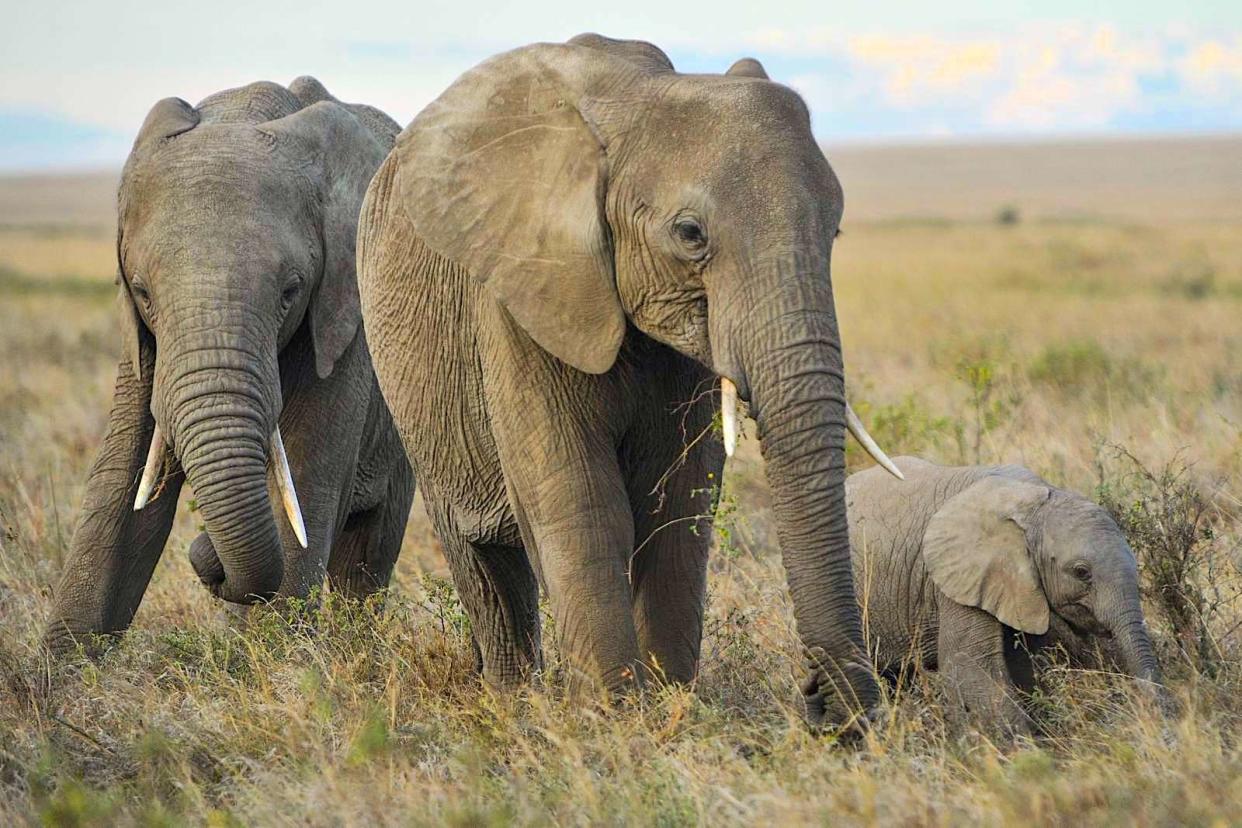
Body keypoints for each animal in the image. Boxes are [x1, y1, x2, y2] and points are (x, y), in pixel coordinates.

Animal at [43, 76, 414, 655]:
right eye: (143, 292)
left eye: (291, 291)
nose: (206, 556)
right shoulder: (143, 345)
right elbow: (122, 484)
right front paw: (59, 672)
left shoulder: (345, 310)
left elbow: (306, 477)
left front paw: (280, 661)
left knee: (369, 552)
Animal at [355, 32, 899, 724]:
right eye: (690, 233)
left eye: (835, 229)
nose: (827, 706)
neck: (641, 99)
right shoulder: (520, 293)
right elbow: (584, 498)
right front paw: (613, 718)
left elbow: (676, 502)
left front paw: (671, 706)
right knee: (476, 554)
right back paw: (513, 703)